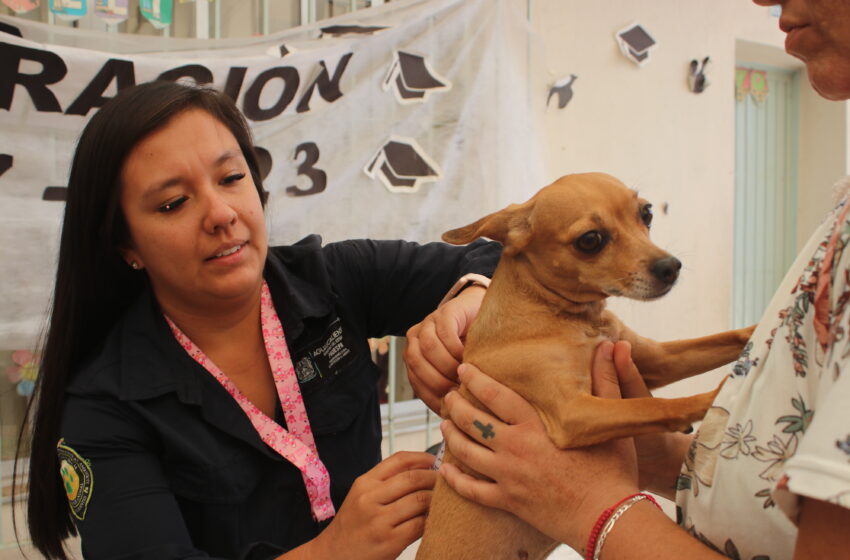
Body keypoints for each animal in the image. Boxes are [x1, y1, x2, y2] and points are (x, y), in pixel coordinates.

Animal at [414, 173, 752, 556]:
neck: (570, 317)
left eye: (647, 213)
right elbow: (652, 405)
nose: (670, 267)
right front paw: (714, 397)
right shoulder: (572, 414)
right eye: (590, 240)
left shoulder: (658, 359)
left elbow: (728, 338)